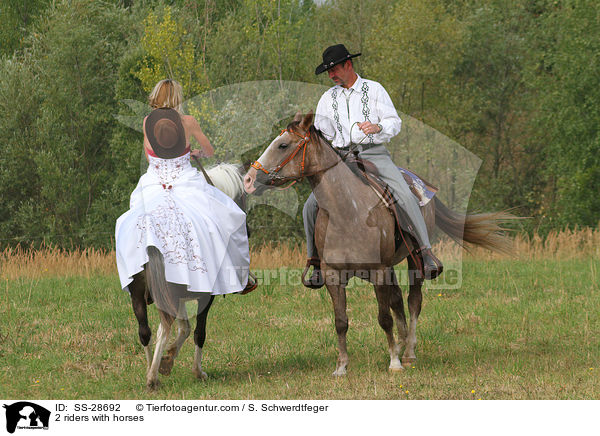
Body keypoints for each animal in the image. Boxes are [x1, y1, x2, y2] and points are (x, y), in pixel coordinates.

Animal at [127, 164, 247, 388]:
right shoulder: (204, 297)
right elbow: (198, 332)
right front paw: (196, 371)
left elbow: (184, 328)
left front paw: (166, 360)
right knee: (163, 330)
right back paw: (153, 378)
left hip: (139, 295)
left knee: (146, 332)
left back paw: (150, 371)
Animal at [245, 112, 516, 374]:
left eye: (282, 145)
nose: (249, 179)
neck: (348, 211)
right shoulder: (334, 275)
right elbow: (341, 321)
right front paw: (341, 366)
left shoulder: (378, 271)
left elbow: (384, 317)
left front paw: (394, 362)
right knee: (398, 300)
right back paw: (403, 341)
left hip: (414, 260)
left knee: (413, 301)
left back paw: (409, 351)